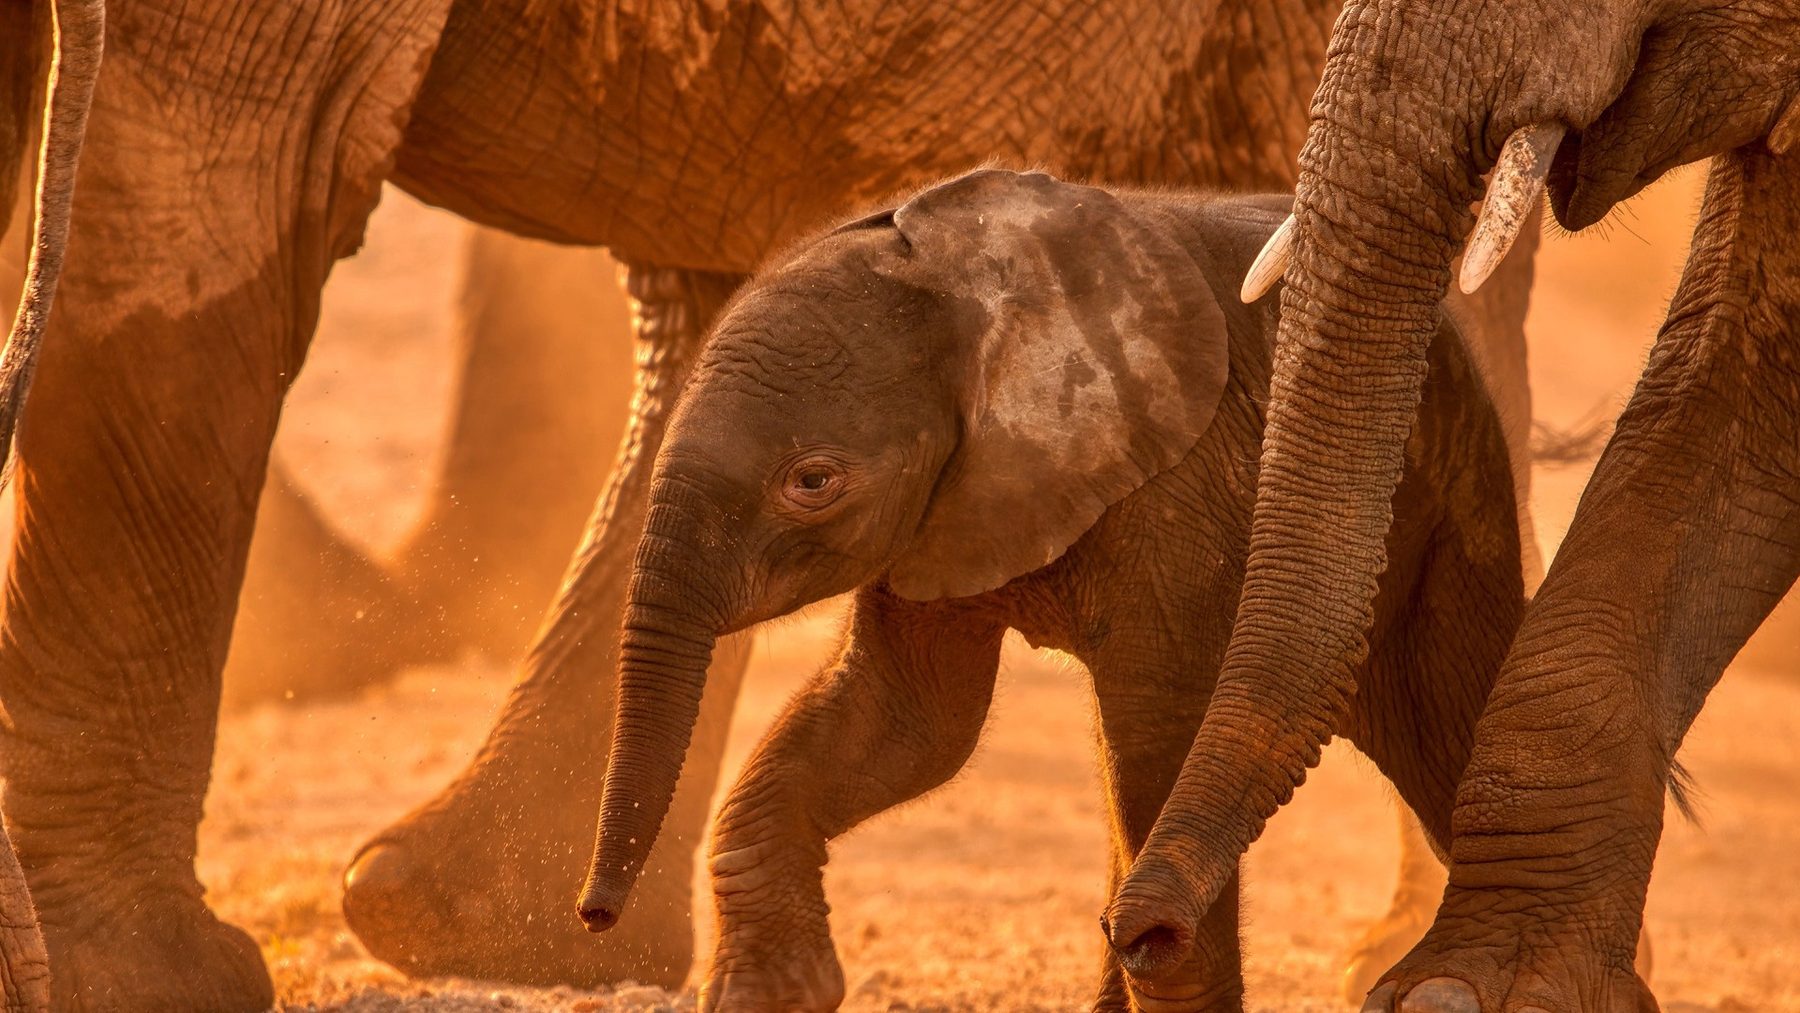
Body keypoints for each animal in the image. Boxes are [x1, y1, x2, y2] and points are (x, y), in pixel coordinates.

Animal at [569, 170, 1529, 1011]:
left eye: (812, 482)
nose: (594, 914)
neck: (971, 285)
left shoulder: (1180, 491)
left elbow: (1156, 737)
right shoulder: (945, 507)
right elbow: (908, 721)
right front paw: (769, 992)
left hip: (1454, 507)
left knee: (1451, 740)